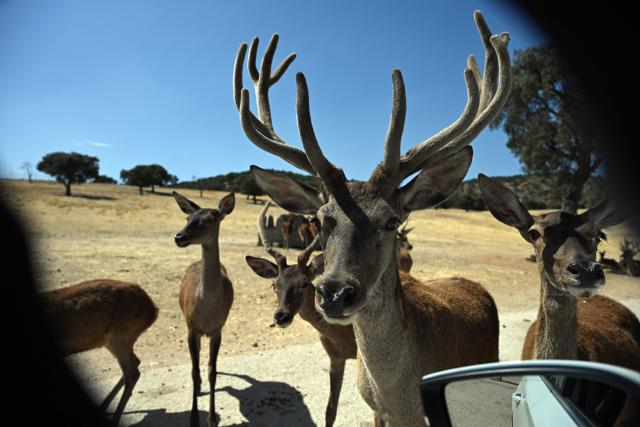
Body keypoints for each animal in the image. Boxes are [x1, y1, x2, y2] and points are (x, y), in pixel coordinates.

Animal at [40, 279, 158, 426]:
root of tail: (153, 309)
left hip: (120, 337)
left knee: (132, 373)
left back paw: (114, 420)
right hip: (111, 342)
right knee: (135, 363)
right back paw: (102, 407)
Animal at [172, 191, 235, 427]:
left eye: (209, 219)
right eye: (187, 218)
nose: (179, 237)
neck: (207, 310)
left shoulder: (218, 329)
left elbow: (212, 372)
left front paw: (211, 418)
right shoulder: (191, 327)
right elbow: (194, 370)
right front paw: (193, 418)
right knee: (195, 361)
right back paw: (197, 389)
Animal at [245, 201, 356, 427]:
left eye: (304, 283)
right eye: (274, 284)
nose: (281, 316)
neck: (346, 336)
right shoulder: (336, 358)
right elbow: (330, 410)